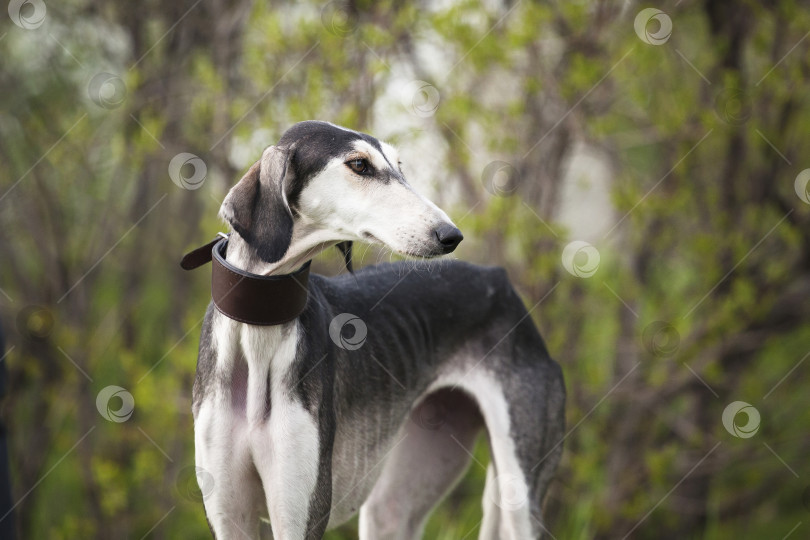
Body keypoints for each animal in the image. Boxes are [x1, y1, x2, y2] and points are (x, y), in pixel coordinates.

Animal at [190, 120, 564, 536]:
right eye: (359, 165)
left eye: (399, 165)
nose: (450, 235)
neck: (260, 327)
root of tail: (500, 281)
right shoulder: (228, 514)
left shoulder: (300, 514)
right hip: (395, 501)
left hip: (519, 493)